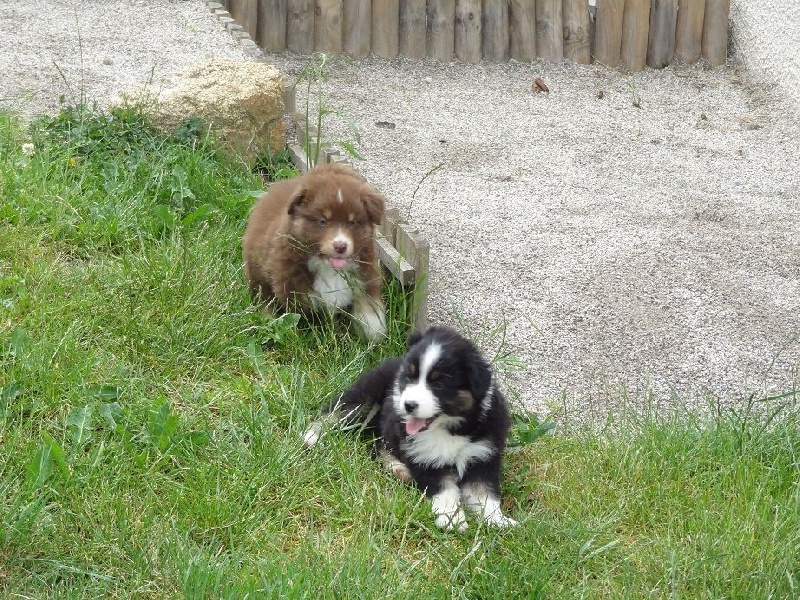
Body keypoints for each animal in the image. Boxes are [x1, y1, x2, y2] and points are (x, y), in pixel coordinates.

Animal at [242, 163, 386, 340]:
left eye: (353, 222)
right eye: (322, 221)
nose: (340, 246)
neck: (329, 267)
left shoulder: (366, 271)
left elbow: (368, 301)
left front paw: (374, 329)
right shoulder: (295, 287)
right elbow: (314, 316)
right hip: (256, 269)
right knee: (262, 295)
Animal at [303, 326, 518, 531]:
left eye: (439, 383)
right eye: (410, 376)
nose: (408, 405)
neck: (450, 428)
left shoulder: (482, 456)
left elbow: (485, 493)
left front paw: (497, 521)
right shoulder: (426, 458)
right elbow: (445, 491)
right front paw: (452, 519)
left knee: (379, 446)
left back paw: (400, 470)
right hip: (364, 400)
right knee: (335, 414)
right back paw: (311, 436)